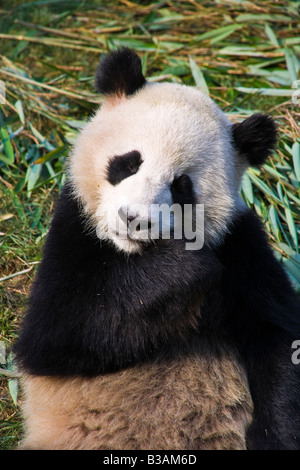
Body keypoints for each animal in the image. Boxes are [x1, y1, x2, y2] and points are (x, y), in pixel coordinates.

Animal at [14, 48, 300, 452]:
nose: (134, 219)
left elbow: (277, 338)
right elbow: (58, 332)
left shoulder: (241, 247)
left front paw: (273, 437)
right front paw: (185, 266)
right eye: (128, 162)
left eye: (181, 186)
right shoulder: (73, 230)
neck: (135, 259)